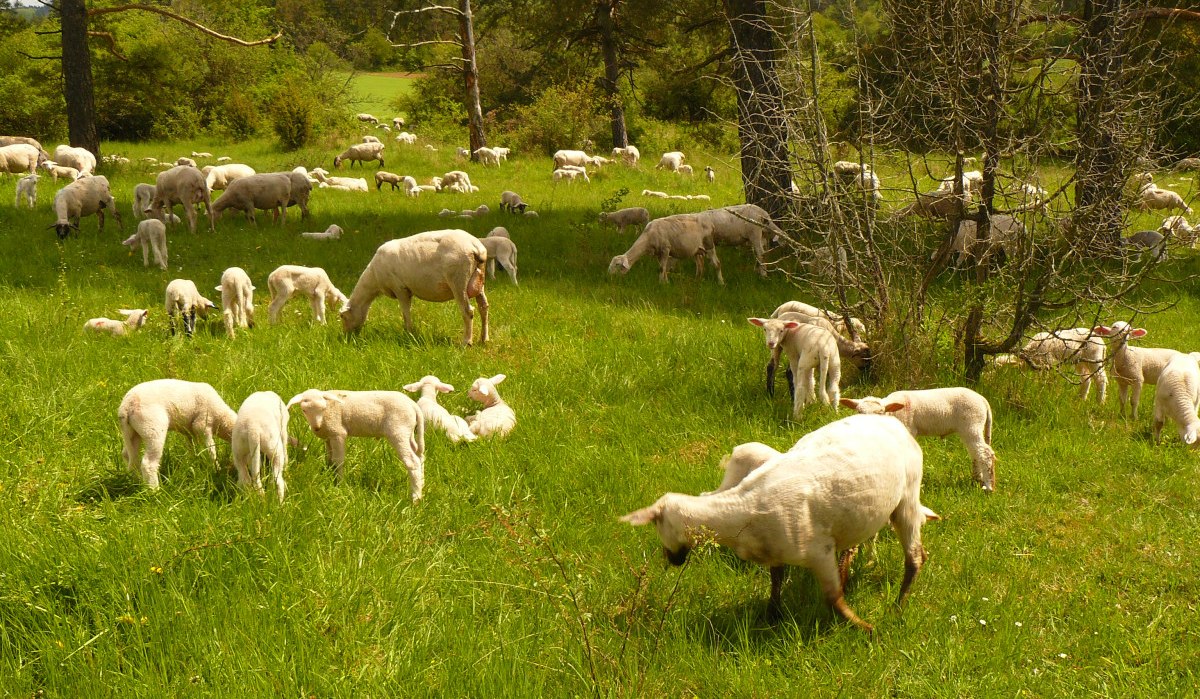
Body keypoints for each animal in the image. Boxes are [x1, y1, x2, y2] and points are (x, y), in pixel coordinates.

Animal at [286, 389, 425, 501]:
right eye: (304, 410)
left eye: (323, 409)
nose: (316, 428)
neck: (327, 414)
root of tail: (413, 405)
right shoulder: (328, 437)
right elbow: (329, 459)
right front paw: (328, 475)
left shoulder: (338, 433)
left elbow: (338, 461)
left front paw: (339, 485)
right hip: (408, 432)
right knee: (419, 456)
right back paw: (421, 485)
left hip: (399, 430)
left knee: (412, 461)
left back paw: (415, 498)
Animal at [340, 229, 489, 346]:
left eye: (343, 317)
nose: (347, 337)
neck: (374, 278)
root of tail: (475, 246)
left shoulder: (400, 288)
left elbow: (405, 313)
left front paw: (409, 334)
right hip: (478, 280)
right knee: (483, 307)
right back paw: (484, 339)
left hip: (458, 280)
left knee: (468, 311)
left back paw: (466, 342)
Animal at [621, 413, 937, 631]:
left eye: (657, 526)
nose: (671, 561)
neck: (739, 511)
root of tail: (892, 422)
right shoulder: (776, 552)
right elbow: (775, 582)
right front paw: (771, 616)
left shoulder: (819, 551)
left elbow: (833, 598)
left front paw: (864, 628)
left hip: (907, 497)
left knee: (915, 557)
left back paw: (898, 608)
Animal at [841, 388, 996, 491]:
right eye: (859, 411)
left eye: (880, 412)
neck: (893, 412)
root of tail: (982, 399)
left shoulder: (908, 429)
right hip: (971, 427)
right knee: (976, 452)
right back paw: (977, 479)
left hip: (972, 422)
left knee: (984, 453)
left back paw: (988, 487)